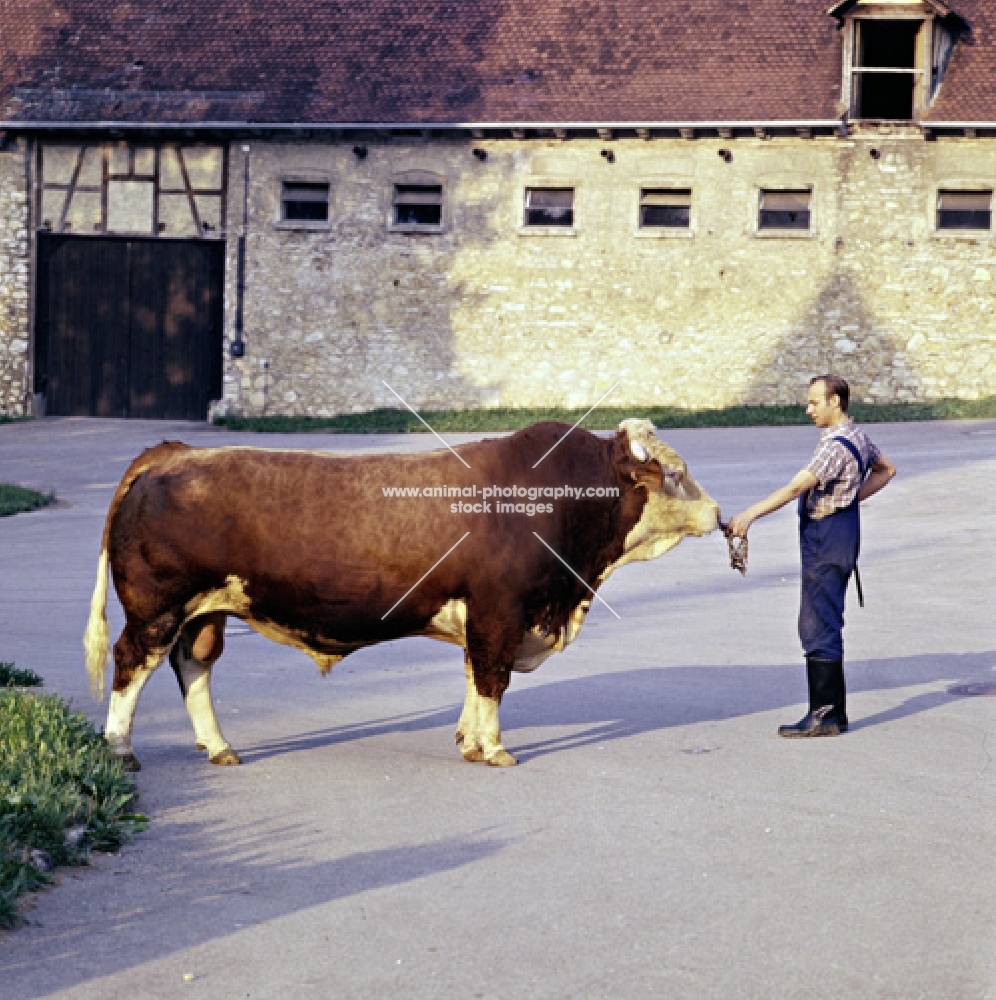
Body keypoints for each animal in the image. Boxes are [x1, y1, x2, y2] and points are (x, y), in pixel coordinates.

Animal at [83, 418, 716, 768]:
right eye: (677, 473)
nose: (716, 511)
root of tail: (175, 451)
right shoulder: (500, 612)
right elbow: (492, 679)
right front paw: (493, 749)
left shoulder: (483, 617)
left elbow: (475, 676)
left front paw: (468, 740)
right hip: (156, 609)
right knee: (131, 664)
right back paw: (120, 749)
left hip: (204, 612)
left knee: (194, 665)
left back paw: (218, 747)